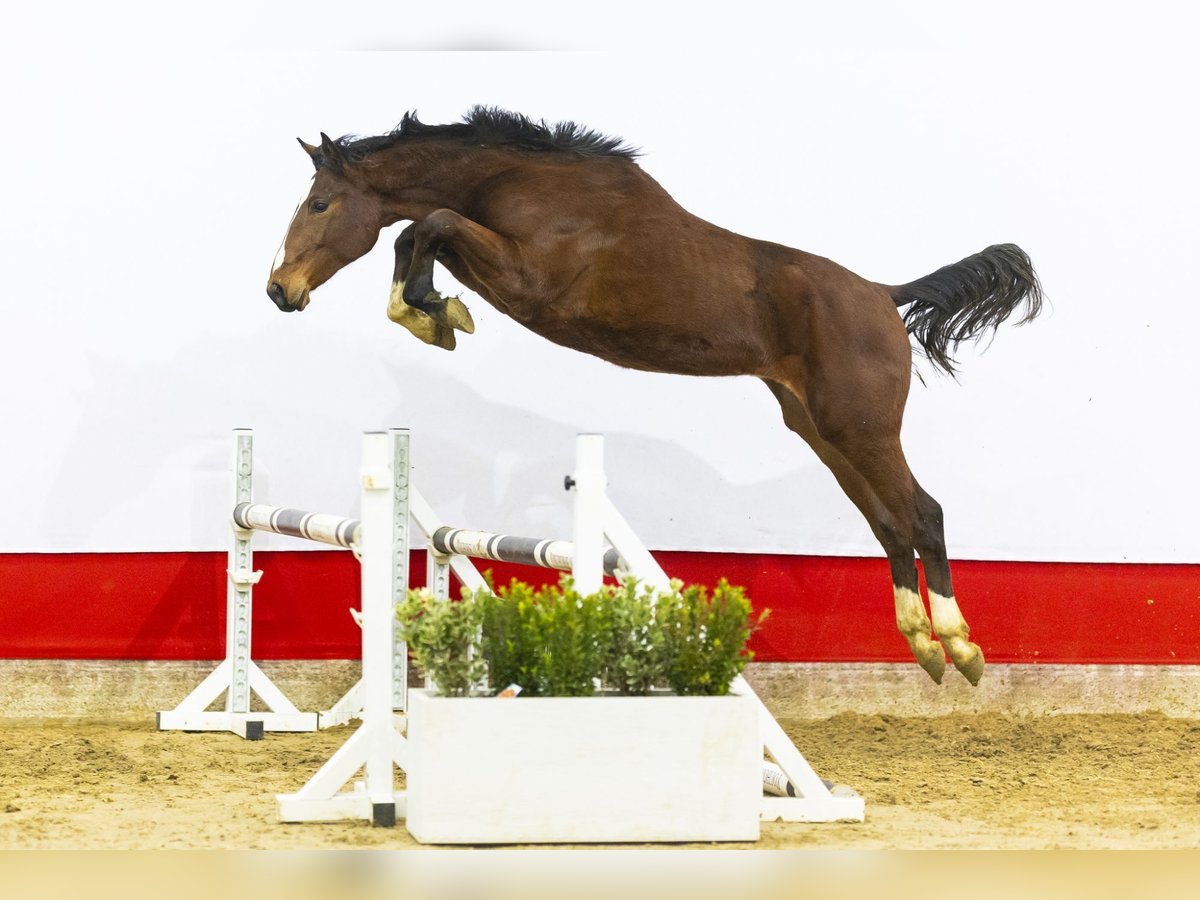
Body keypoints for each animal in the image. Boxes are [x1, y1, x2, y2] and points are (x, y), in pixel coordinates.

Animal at [265, 107, 1041, 681]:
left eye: (321, 203)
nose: (279, 290)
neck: (526, 185)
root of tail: (884, 295)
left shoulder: (529, 280)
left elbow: (431, 226)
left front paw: (435, 314)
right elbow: (419, 237)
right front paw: (434, 314)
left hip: (861, 428)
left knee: (923, 514)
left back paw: (961, 647)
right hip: (821, 430)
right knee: (889, 523)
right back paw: (923, 646)